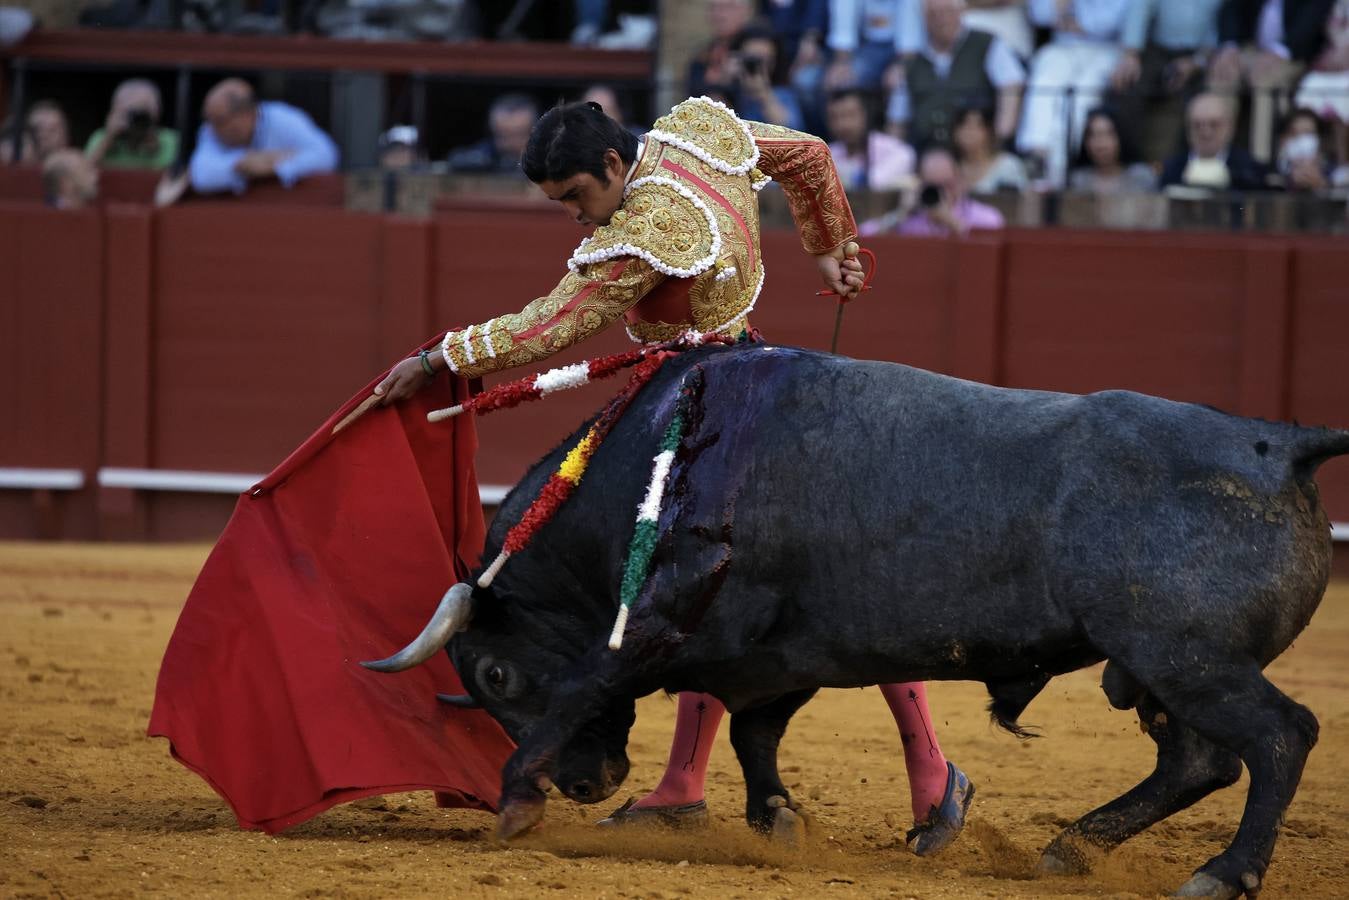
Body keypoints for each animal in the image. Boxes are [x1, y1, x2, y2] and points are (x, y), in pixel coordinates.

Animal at [366, 341, 1349, 895]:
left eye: (494, 674)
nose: (586, 784)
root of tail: (1279, 442)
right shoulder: (777, 656)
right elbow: (752, 733)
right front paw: (778, 822)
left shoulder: (662, 612)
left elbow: (585, 680)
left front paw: (516, 798)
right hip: (1154, 669)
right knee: (1196, 761)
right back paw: (1066, 851)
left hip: (1184, 656)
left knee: (1278, 737)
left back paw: (1220, 873)